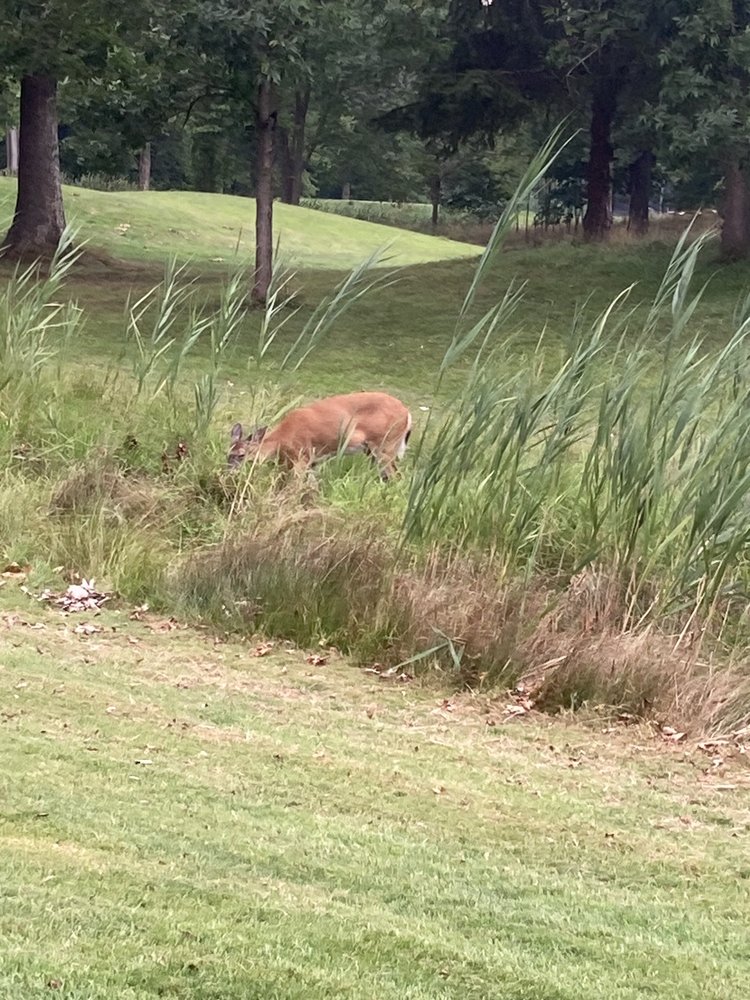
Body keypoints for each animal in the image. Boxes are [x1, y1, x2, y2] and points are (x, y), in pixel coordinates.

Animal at [228, 391, 412, 481]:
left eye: (242, 455)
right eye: (227, 453)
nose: (228, 471)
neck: (282, 440)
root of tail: (407, 413)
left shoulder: (302, 457)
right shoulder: (312, 462)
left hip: (385, 444)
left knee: (397, 477)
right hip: (373, 450)